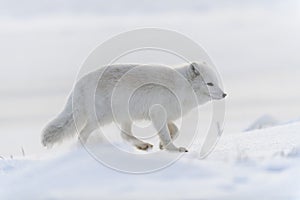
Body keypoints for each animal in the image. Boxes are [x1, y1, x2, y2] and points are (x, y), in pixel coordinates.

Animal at [41, 61, 225, 152]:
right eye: (209, 84)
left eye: (216, 82)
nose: (225, 95)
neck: (182, 87)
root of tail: (78, 84)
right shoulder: (158, 113)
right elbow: (166, 134)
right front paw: (173, 149)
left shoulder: (164, 115)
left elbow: (175, 130)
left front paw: (162, 145)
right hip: (102, 119)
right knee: (82, 135)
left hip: (124, 118)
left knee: (124, 135)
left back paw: (142, 145)